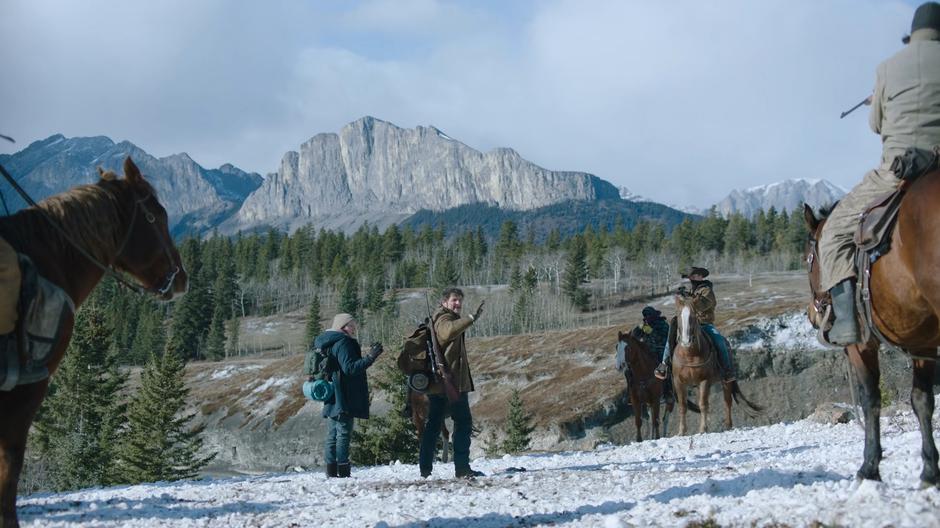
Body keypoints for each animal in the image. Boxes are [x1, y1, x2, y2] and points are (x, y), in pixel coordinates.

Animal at [668, 290, 764, 436]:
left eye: (693, 316)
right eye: (679, 315)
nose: (685, 341)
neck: (690, 354)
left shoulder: (704, 381)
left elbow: (703, 404)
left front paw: (703, 429)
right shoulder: (679, 382)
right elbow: (683, 406)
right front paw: (682, 432)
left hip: (726, 381)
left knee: (727, 401)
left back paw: (728, 425)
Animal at [800, 193, 940, 486]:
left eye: (807, 259)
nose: (811, 313)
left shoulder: (861, 346)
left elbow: (870, 400)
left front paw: (869, 467)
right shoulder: (923, 343)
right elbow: (922, 401)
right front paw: (930, 470)